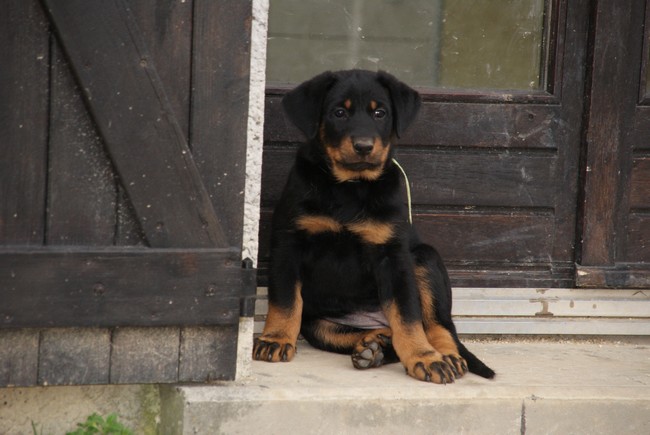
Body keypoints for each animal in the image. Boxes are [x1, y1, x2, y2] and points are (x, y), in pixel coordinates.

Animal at [253, 70, 492, 384]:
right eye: (339, 112)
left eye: (380, 113)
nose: (364, 146)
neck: (349, 187)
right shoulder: (288, 243)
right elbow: (285, 300)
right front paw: (276, 339)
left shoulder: (393, 255)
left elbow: (408, 315)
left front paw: (423, 356)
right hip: (319, 326)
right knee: (379, 333)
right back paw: (373, 347)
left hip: (425, 258)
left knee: (438, 326)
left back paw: (445, 356)